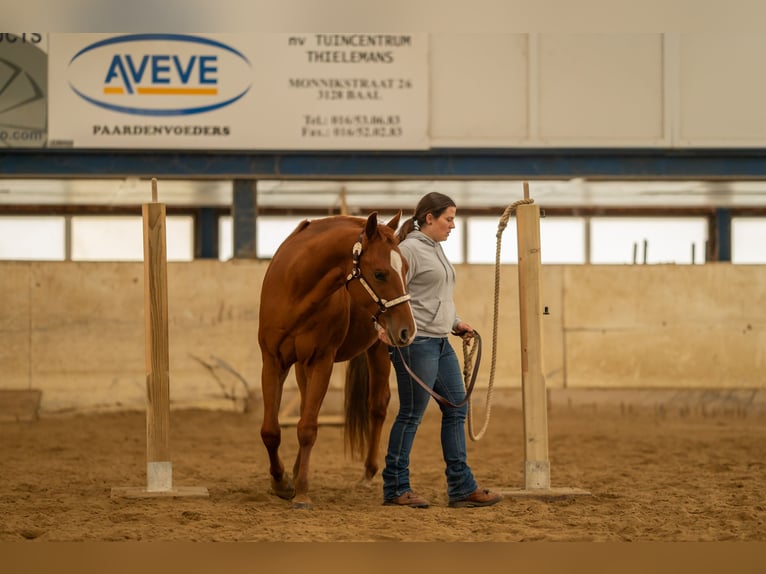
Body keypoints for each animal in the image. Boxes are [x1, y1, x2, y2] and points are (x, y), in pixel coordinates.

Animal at [258, 214, 416, 510]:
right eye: (380, 273)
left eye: (406, 269)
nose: (408, 331)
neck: (295, 289)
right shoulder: (273, 362)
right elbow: (271, 430)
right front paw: (281, 482)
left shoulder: (322, 361)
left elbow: (308, 428)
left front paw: (302, 491)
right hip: (302, 365)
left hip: (379, 348)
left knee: (377, 406)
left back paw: (368, 472)